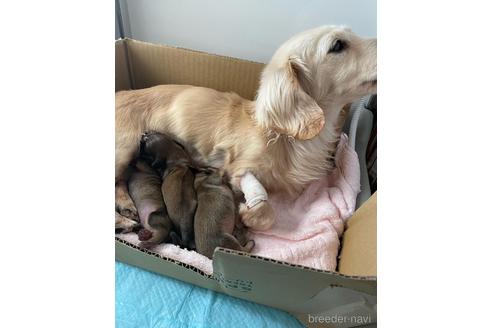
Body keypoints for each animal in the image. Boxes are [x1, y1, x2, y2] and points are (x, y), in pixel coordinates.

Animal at [114, 25, 376, 231]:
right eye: (338, 45)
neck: (286, 137)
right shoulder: (239, 170)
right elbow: (265, 209)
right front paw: (248, 214)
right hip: (124, 149)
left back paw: (126, 207)